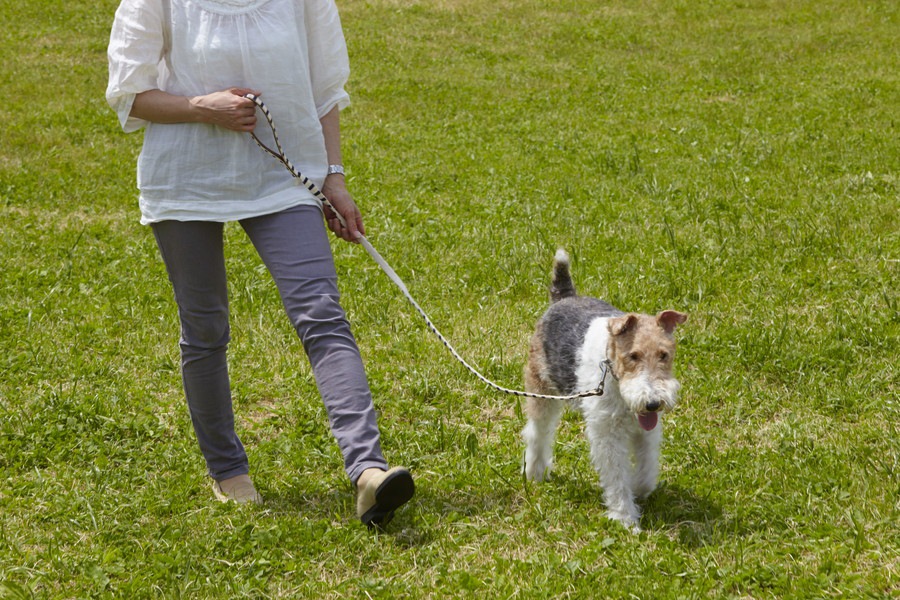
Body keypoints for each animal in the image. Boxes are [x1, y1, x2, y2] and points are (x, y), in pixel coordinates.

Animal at [520, 248, 688, 528]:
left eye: (664, 355)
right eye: (633, 356)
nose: (652, 403)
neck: (613, 373)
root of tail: (564, 296)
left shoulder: (647, 431)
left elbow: (646, 468)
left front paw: (638, 490)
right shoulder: (607, 434)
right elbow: (616, 476)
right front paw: (626, 518)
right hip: (541, 390)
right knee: (537, 433)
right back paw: (534, 472)